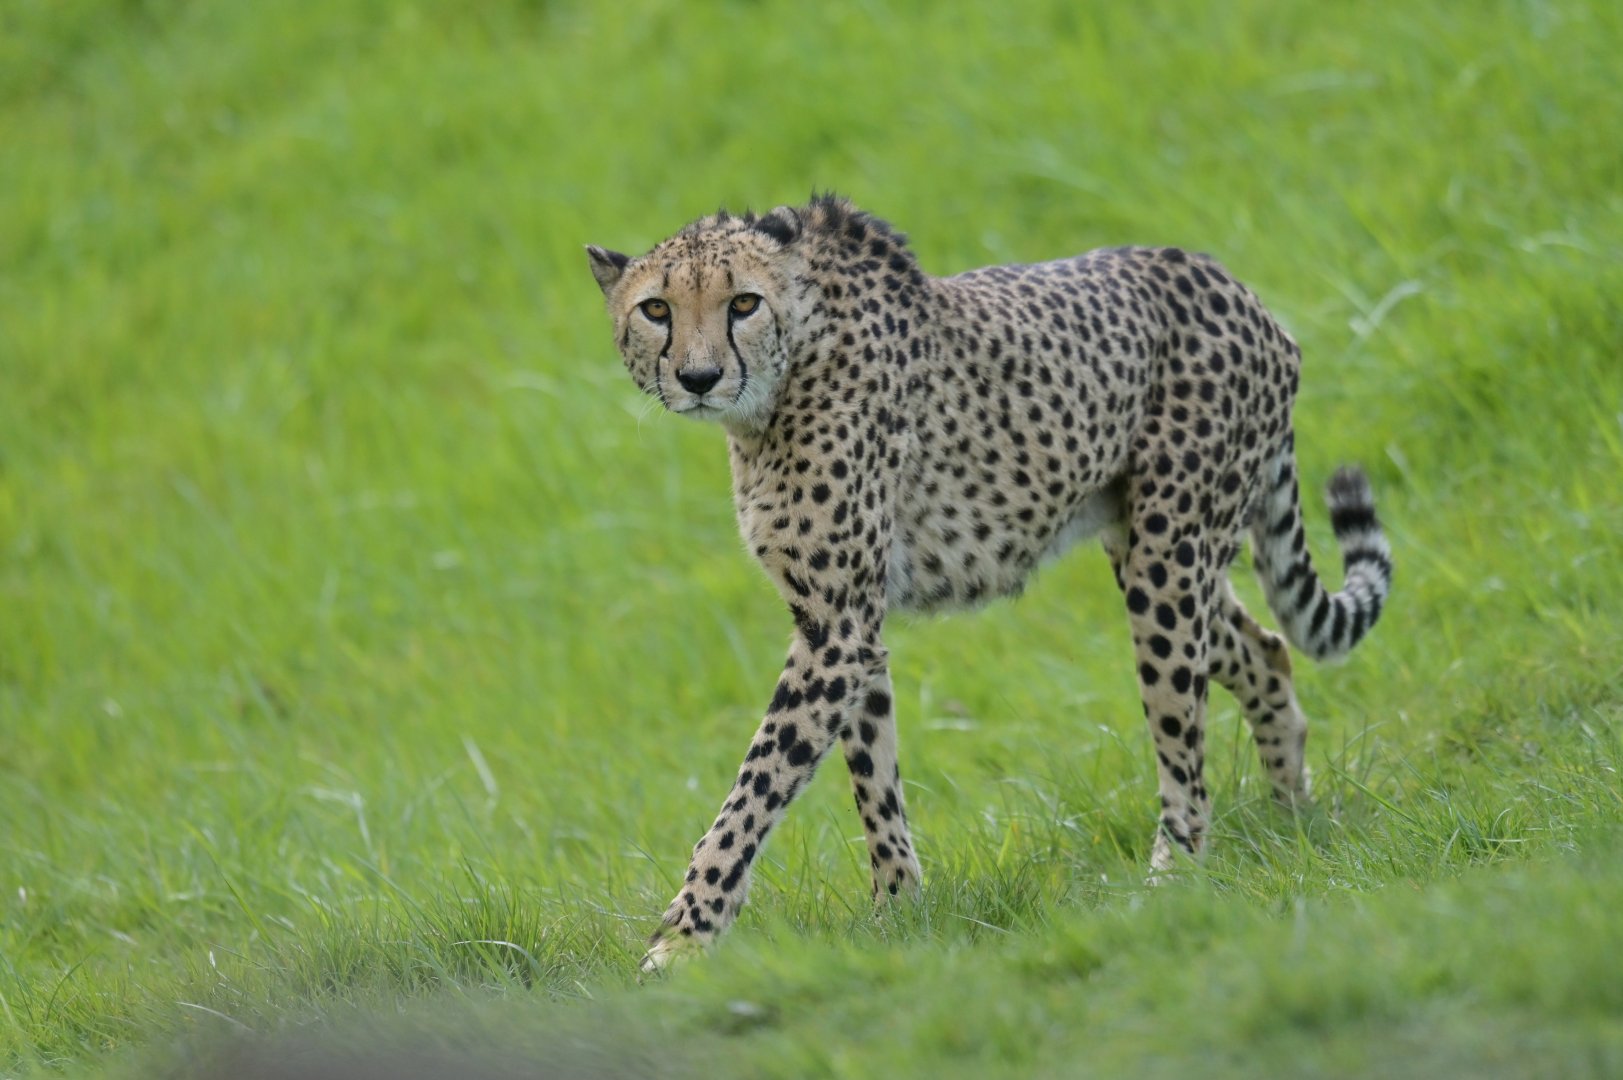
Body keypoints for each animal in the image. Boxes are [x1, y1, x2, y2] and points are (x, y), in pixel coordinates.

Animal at [585, 195, 1392, 971]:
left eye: (743, 303)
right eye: (655, 310)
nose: (697, 378)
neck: (782, 379)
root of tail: (1232, 285)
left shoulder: (837, 631)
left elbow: (752, 791)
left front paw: (682, 940)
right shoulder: (844, 622)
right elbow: (872, 777)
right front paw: (898, 912)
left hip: (1169, 558)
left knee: (1182, 737)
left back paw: (1178, 875)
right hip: (1147, 549)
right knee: (1264, 649)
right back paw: (1290, 818)